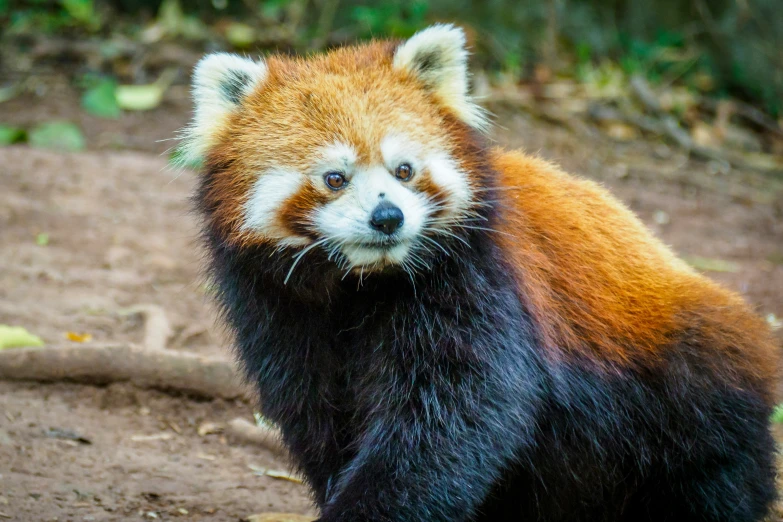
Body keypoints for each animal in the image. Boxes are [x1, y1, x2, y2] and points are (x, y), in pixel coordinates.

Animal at [184, 24, 776, 520]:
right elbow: (319, 418)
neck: (359, 285)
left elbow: (454, 421)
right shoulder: (279, 312)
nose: (388, 217)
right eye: (335, 178)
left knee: (709, 479)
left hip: (684, 393)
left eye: (404, 170)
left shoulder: (478, 284)